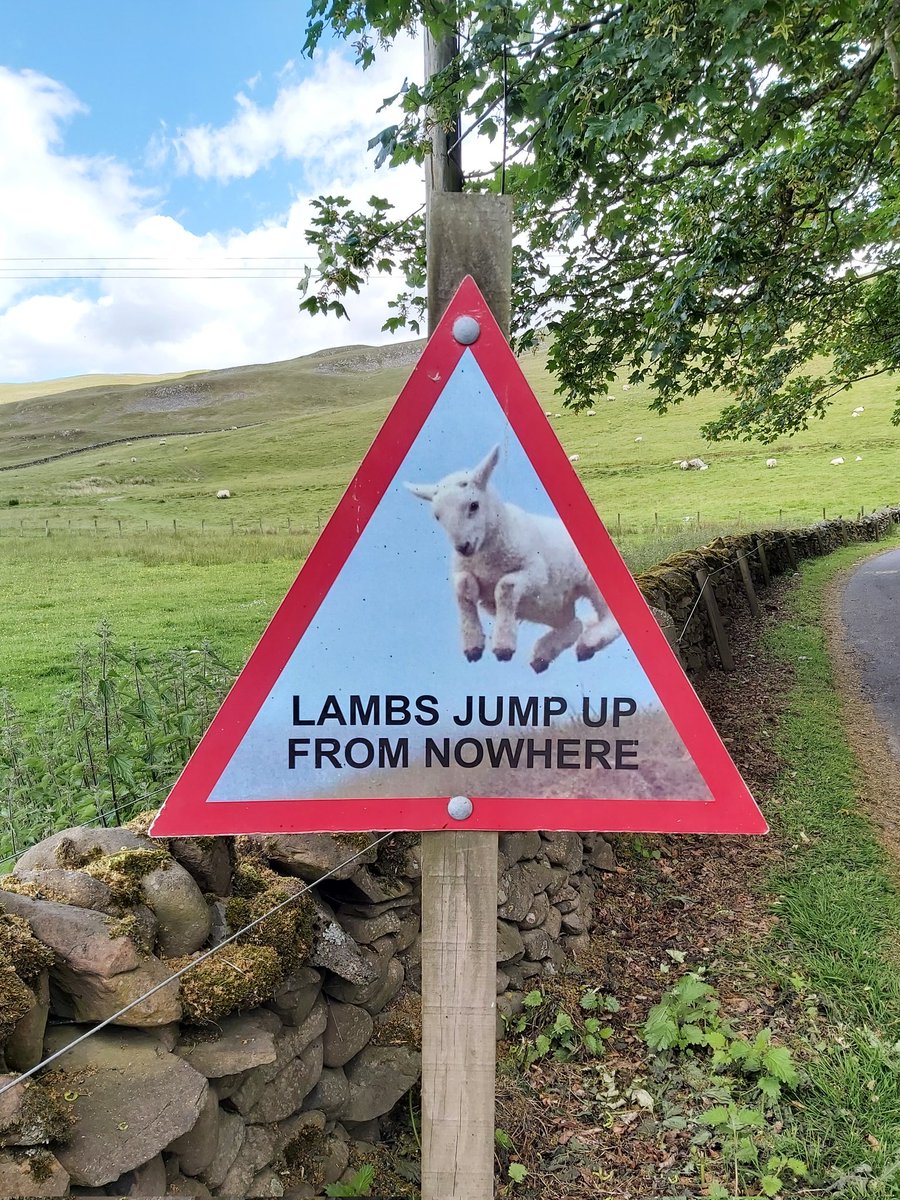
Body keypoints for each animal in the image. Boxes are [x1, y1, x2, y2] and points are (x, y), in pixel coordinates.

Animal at [408, 446, 619, 672]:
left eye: (474, 505)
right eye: (437, 516)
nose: (462, 547)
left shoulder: (536, 572)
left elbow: (505, 588)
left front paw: (503, 646)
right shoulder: (467, 573)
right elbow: (464, 589)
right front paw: (473, 646)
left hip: (585, 583)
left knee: (609, 618)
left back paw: (589, 642)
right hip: (551, 605)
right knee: (573, 624)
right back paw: (543, 655)